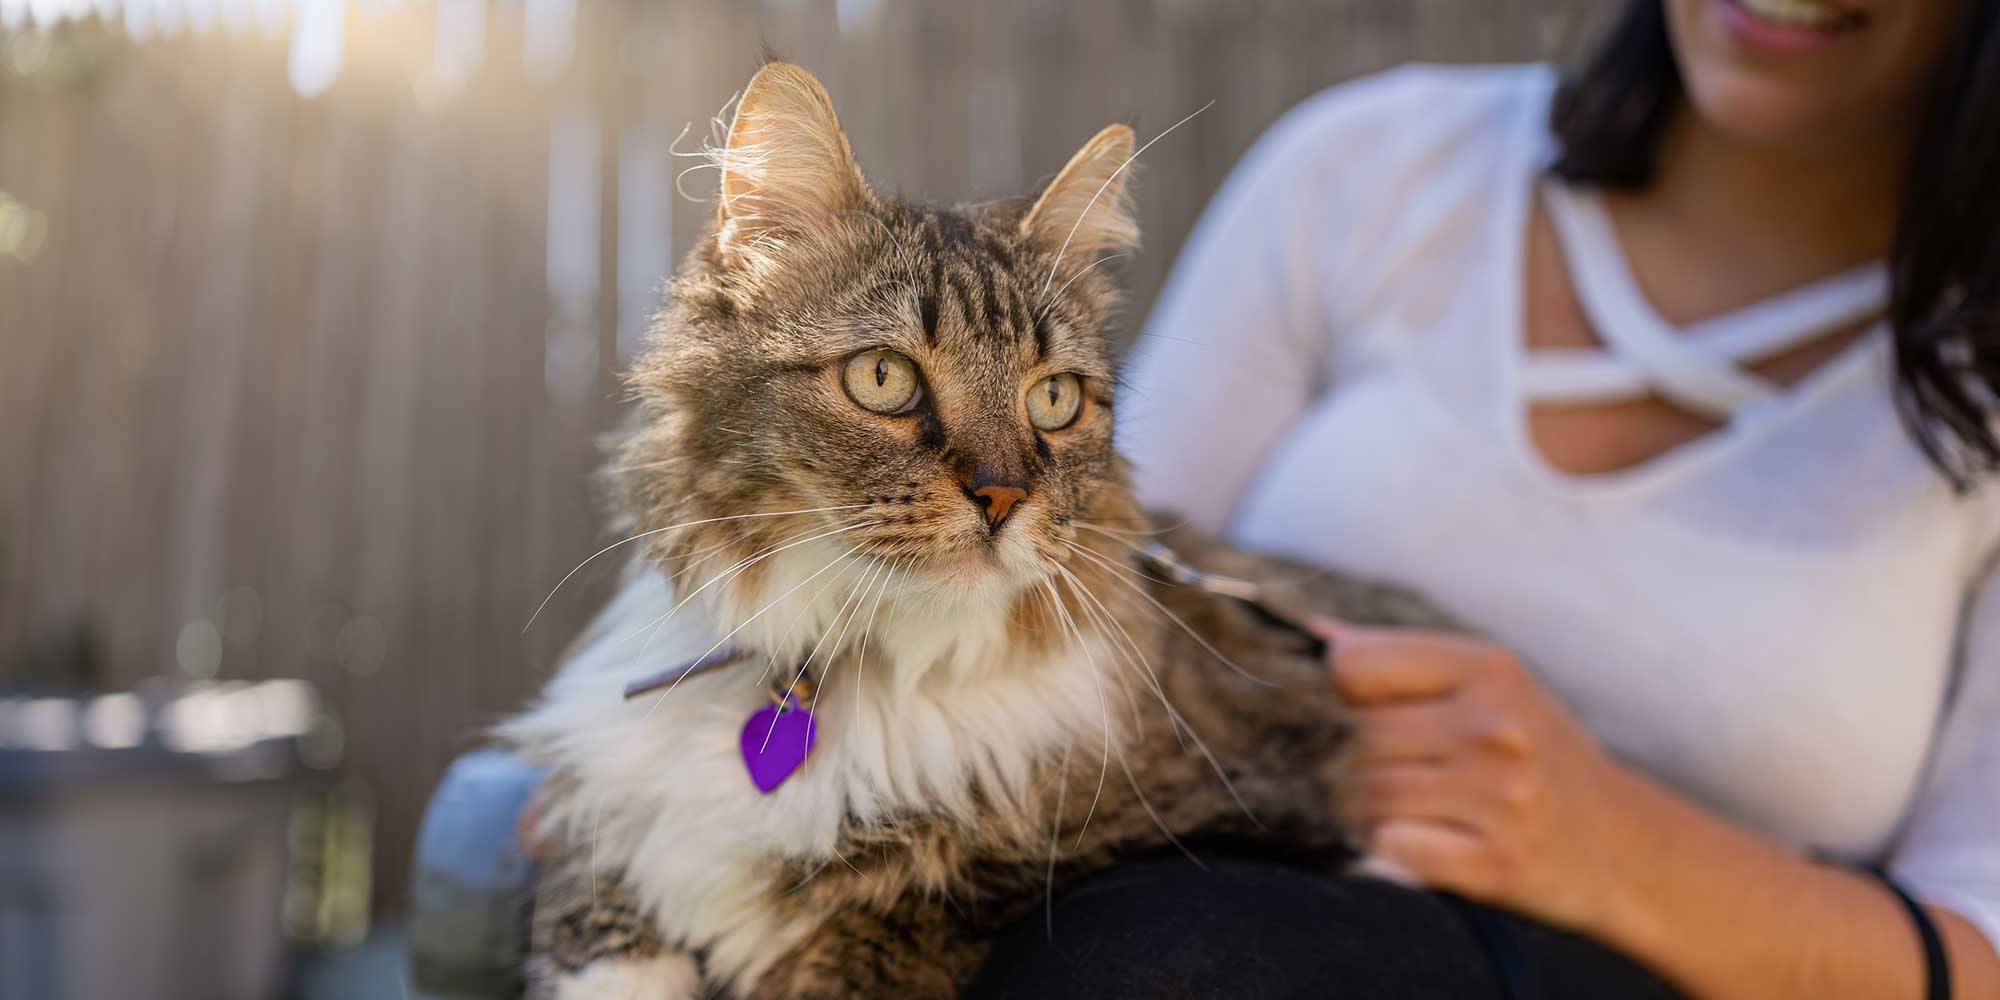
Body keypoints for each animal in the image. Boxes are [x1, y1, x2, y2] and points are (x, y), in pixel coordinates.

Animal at [504, 62, 1456, 1000]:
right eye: (883, 378)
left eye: (1054, 398)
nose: (1002, 497)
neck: (854, 659)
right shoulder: (602, 833)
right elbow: (602, 934)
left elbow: (898, 923)